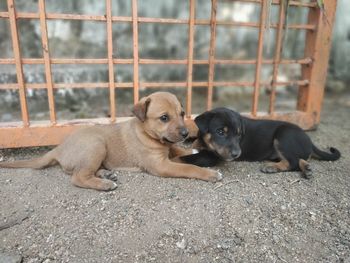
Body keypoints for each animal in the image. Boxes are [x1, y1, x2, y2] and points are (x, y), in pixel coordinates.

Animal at [0, 93, 223, 192]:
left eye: (182, 113)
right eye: (164, 118)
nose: (186, 133)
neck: (147, 133)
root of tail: (59, 148)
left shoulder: (168, 149)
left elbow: (178, 150)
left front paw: (191, 151)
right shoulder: (160, 165)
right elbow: (188, 168)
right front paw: (210, 174)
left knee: (82, 171)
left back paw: (105, 174)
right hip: (96, 145)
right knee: (77, 177)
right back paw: (104, 183)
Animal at [182, 108, 340, 179]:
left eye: (239, 134)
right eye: (220, 132)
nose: (236, 154)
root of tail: (309, 140)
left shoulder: (214, 157)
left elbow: (190, 158)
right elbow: (194, 144)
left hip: (283, 136)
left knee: (293, 161)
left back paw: (271, 167)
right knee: (299, 158)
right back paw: (306, 168)